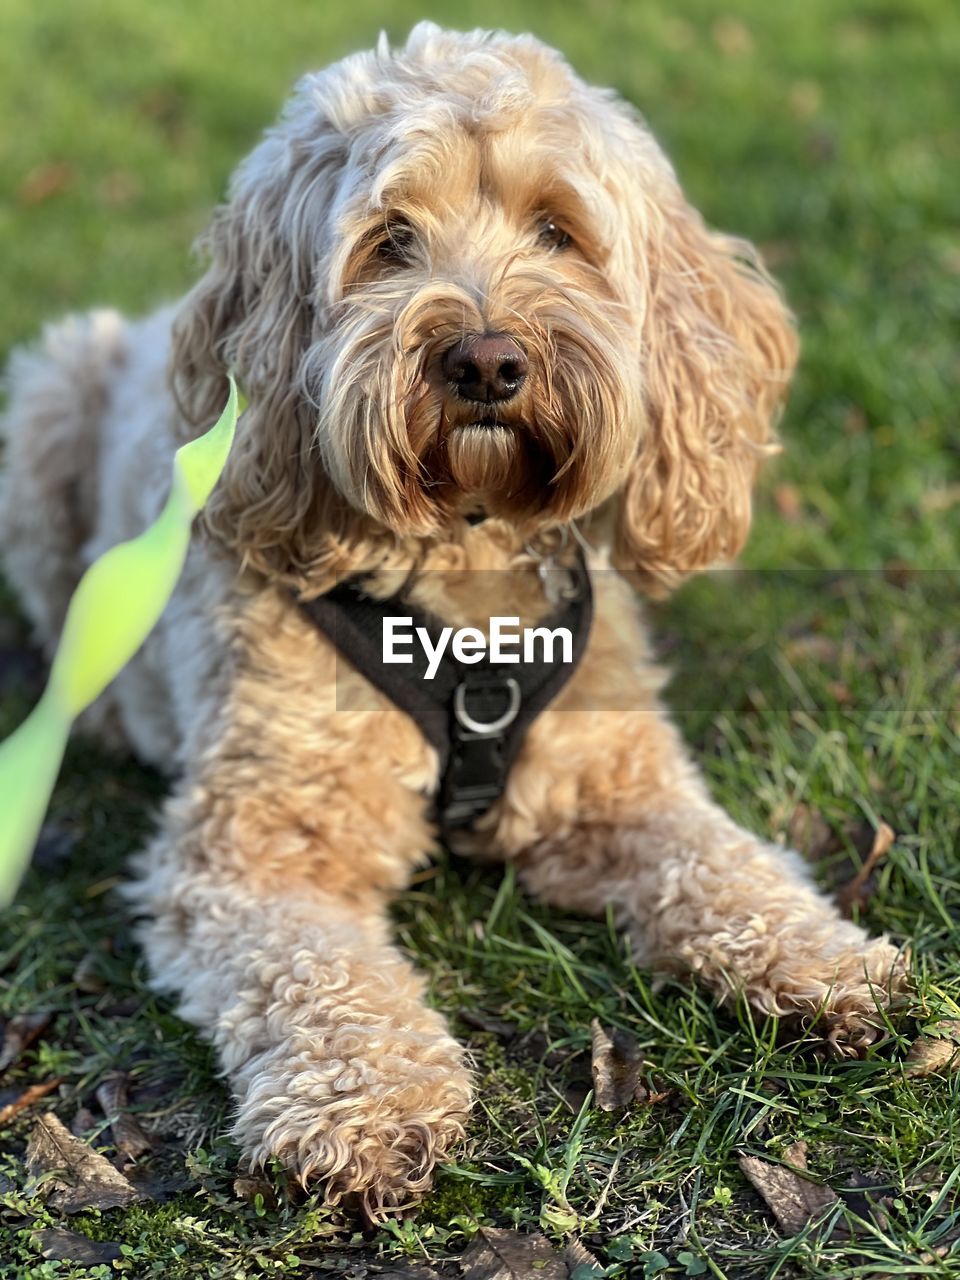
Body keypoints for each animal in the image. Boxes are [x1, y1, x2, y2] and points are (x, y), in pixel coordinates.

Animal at [0, 22, 911, 1218]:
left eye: (557, 230)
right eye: (391, 240)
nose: (485, 360)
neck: (465, 572)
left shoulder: (621, 786)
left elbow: (724, 862)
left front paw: (821, 952)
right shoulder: (257, 847)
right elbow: (318, 972)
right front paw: (368, 1103)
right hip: (48, 396)